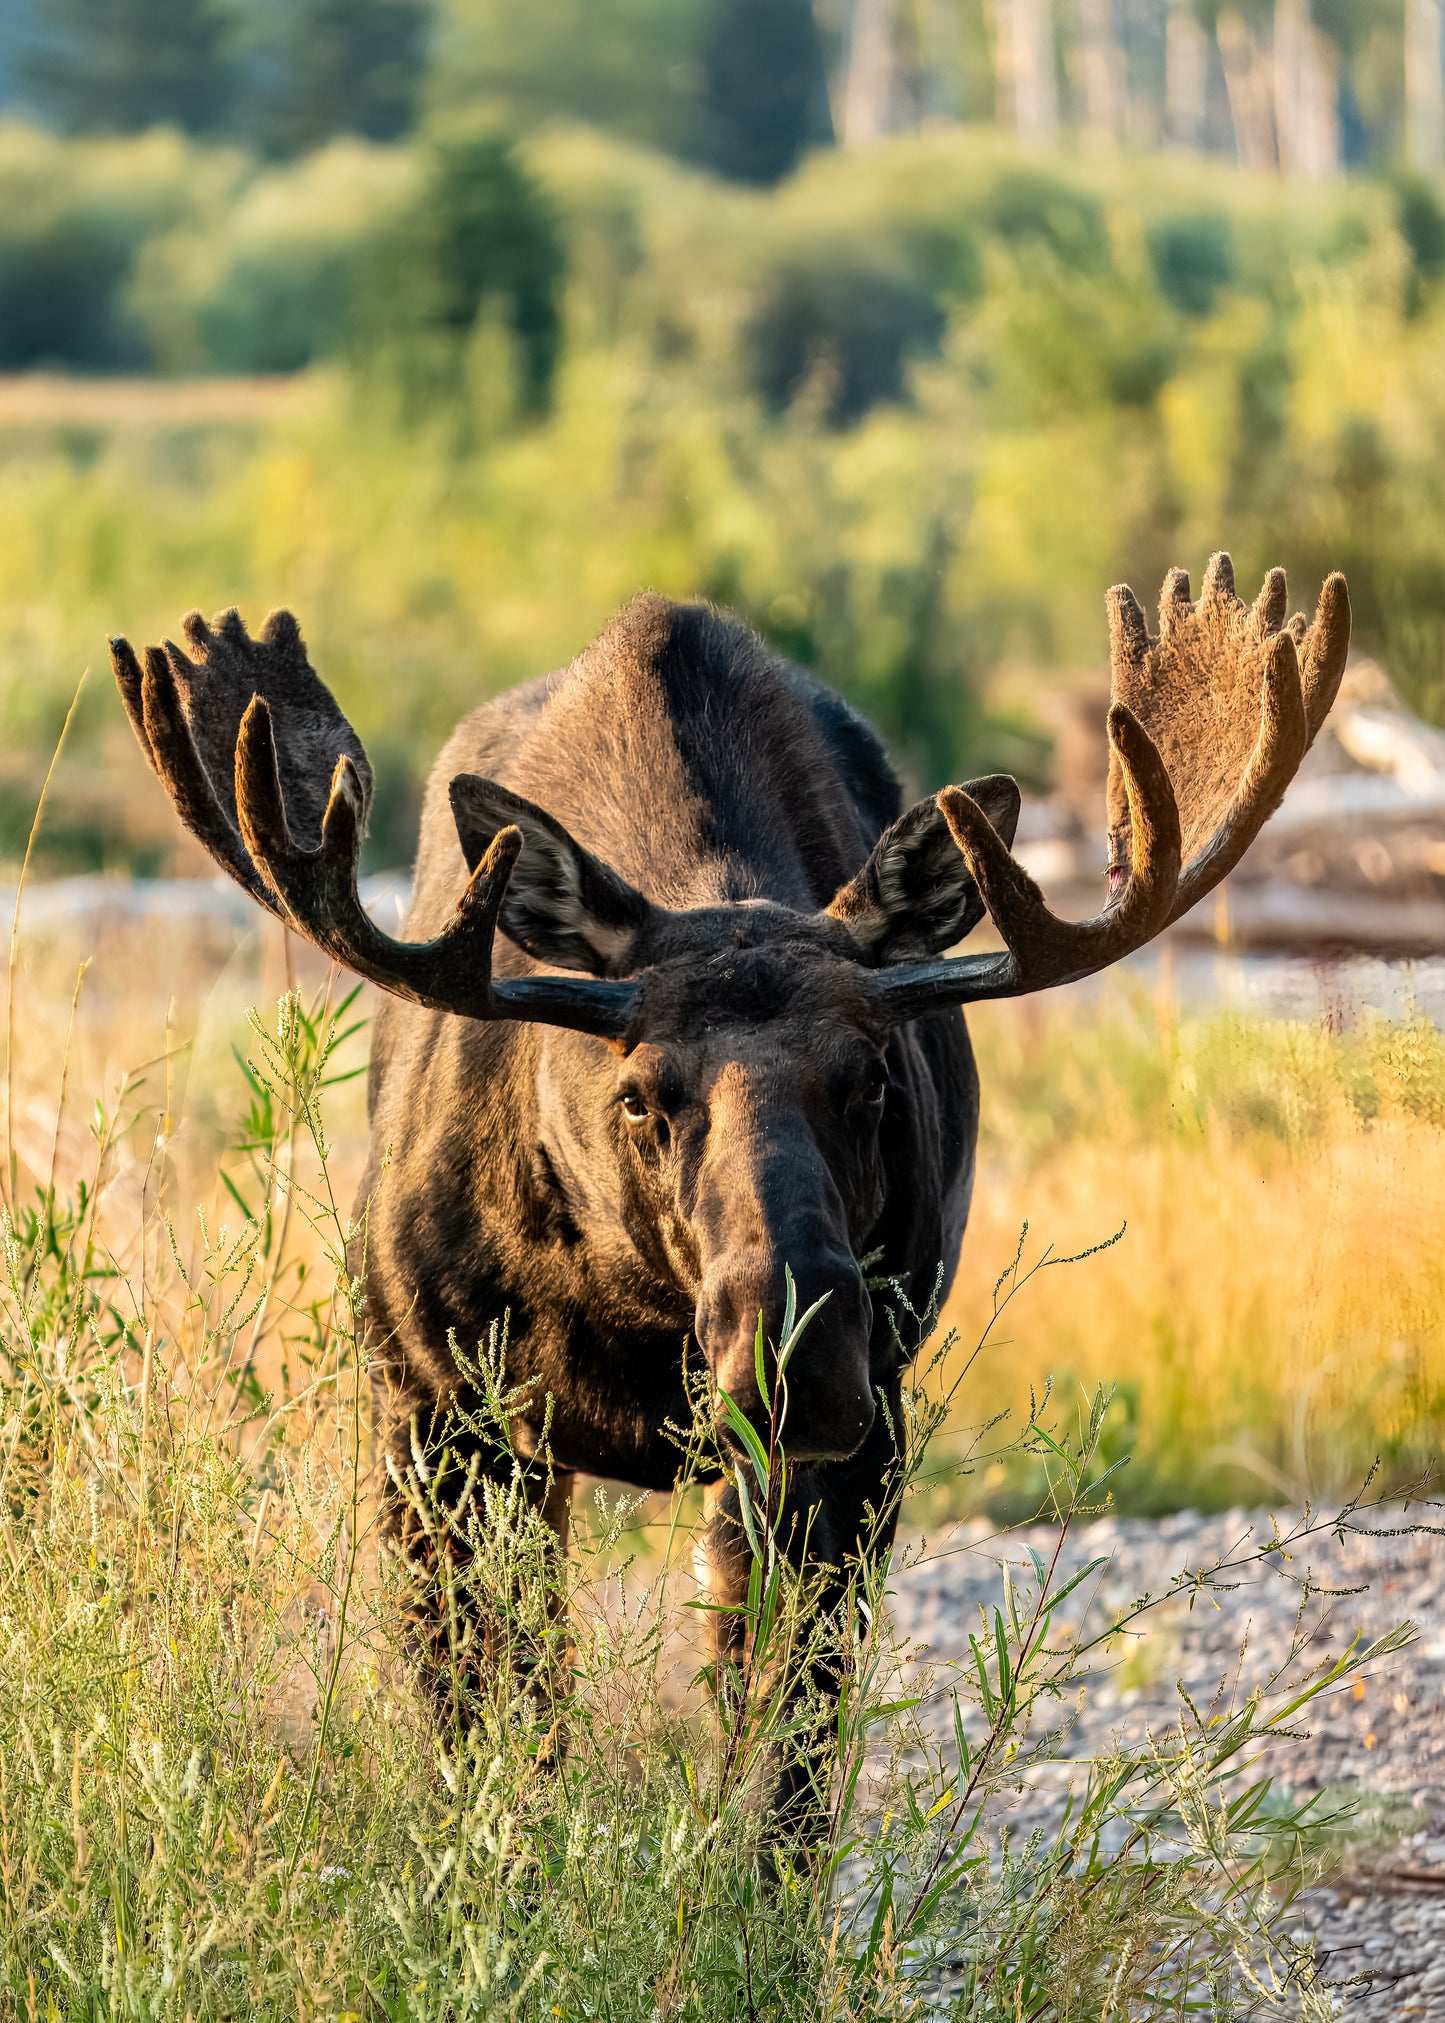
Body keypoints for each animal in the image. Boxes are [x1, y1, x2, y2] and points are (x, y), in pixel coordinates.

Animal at [112, 554, 1351, 1836]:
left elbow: (787, 1745)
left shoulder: (859, 1442)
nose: (792, 1356)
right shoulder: (431, 1404)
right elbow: (491, 1721)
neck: (622, 1299)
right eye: (638, 1094)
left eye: (871, 1078)